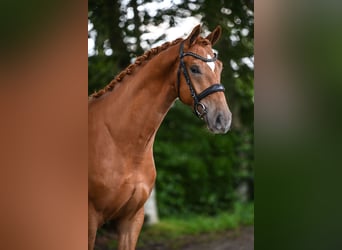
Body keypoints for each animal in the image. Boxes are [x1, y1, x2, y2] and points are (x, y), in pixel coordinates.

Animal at [88, 25, 232, 250]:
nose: (223, 119)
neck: (120, 143)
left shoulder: (132, 219)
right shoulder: (90, 219)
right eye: (194, 69)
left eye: (219, 67)